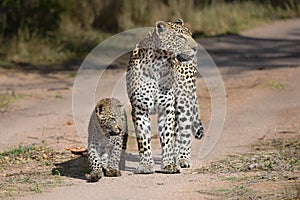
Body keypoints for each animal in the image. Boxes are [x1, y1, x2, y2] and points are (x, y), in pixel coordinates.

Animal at [126, 19, 204, 174]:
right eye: (180, 37)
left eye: (191, 35)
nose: (196, 48)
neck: (158, 65)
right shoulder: (140, 109)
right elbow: (143, 139)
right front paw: (146, 165)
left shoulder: (167, 109)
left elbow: (167, 137)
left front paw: (169, 164)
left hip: (184, 103)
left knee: (184, 132)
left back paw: (182, 158)